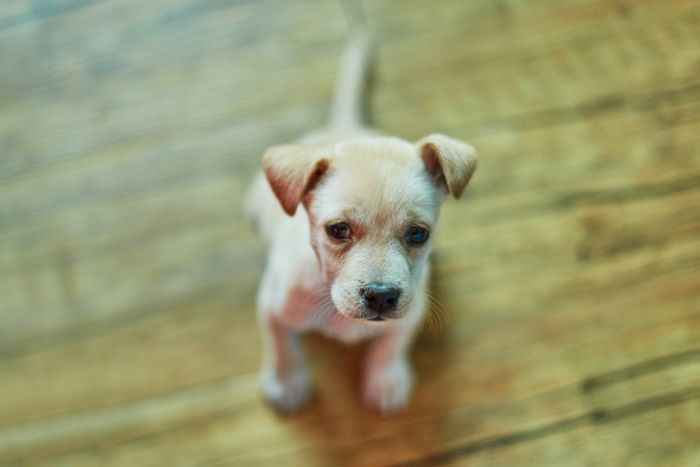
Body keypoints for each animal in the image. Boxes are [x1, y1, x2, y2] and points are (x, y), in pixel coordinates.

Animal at [245, 33, 476, 414]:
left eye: (418, 234)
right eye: (338, 230)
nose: (381, 296)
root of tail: (344, 123)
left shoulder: (412, 311)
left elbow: (391, 343)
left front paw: (385, 381)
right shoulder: (272, 305)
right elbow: (281, 345)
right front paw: (287, 383)